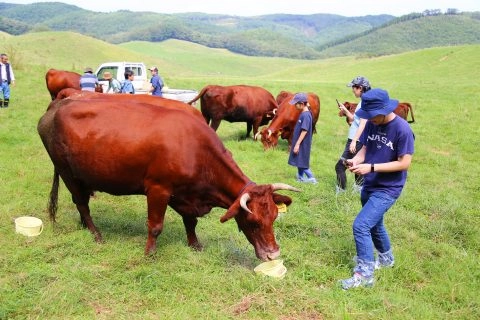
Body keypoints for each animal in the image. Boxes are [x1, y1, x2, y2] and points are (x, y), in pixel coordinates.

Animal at [38, 99, 300, 262]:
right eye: (253, 222)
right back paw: (96, 235)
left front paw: (195, 245)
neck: (196, 150)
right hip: (66, 171)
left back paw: (85, 226)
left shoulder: (186, 195)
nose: (273, 255)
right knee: (81, 203)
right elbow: (155, 226)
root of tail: (58, 104)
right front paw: (149, 254)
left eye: (274, 217)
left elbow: (190, 222)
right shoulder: (158, 189)